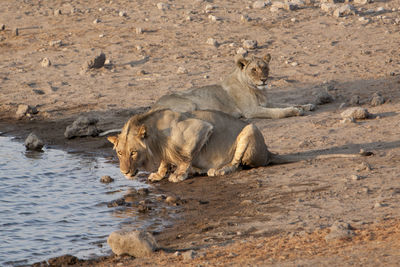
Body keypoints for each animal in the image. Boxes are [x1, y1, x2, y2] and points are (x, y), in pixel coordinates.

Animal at [152, 54, 314, 119]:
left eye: (265, 68)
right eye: (253, 70)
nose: (264, 80)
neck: (256, 90)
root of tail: (154, 105)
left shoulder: (266, 103)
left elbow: (284, 103)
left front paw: (306, 105)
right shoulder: (250, 111)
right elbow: (277, 112)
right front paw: (295, 111)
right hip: (188, 103)